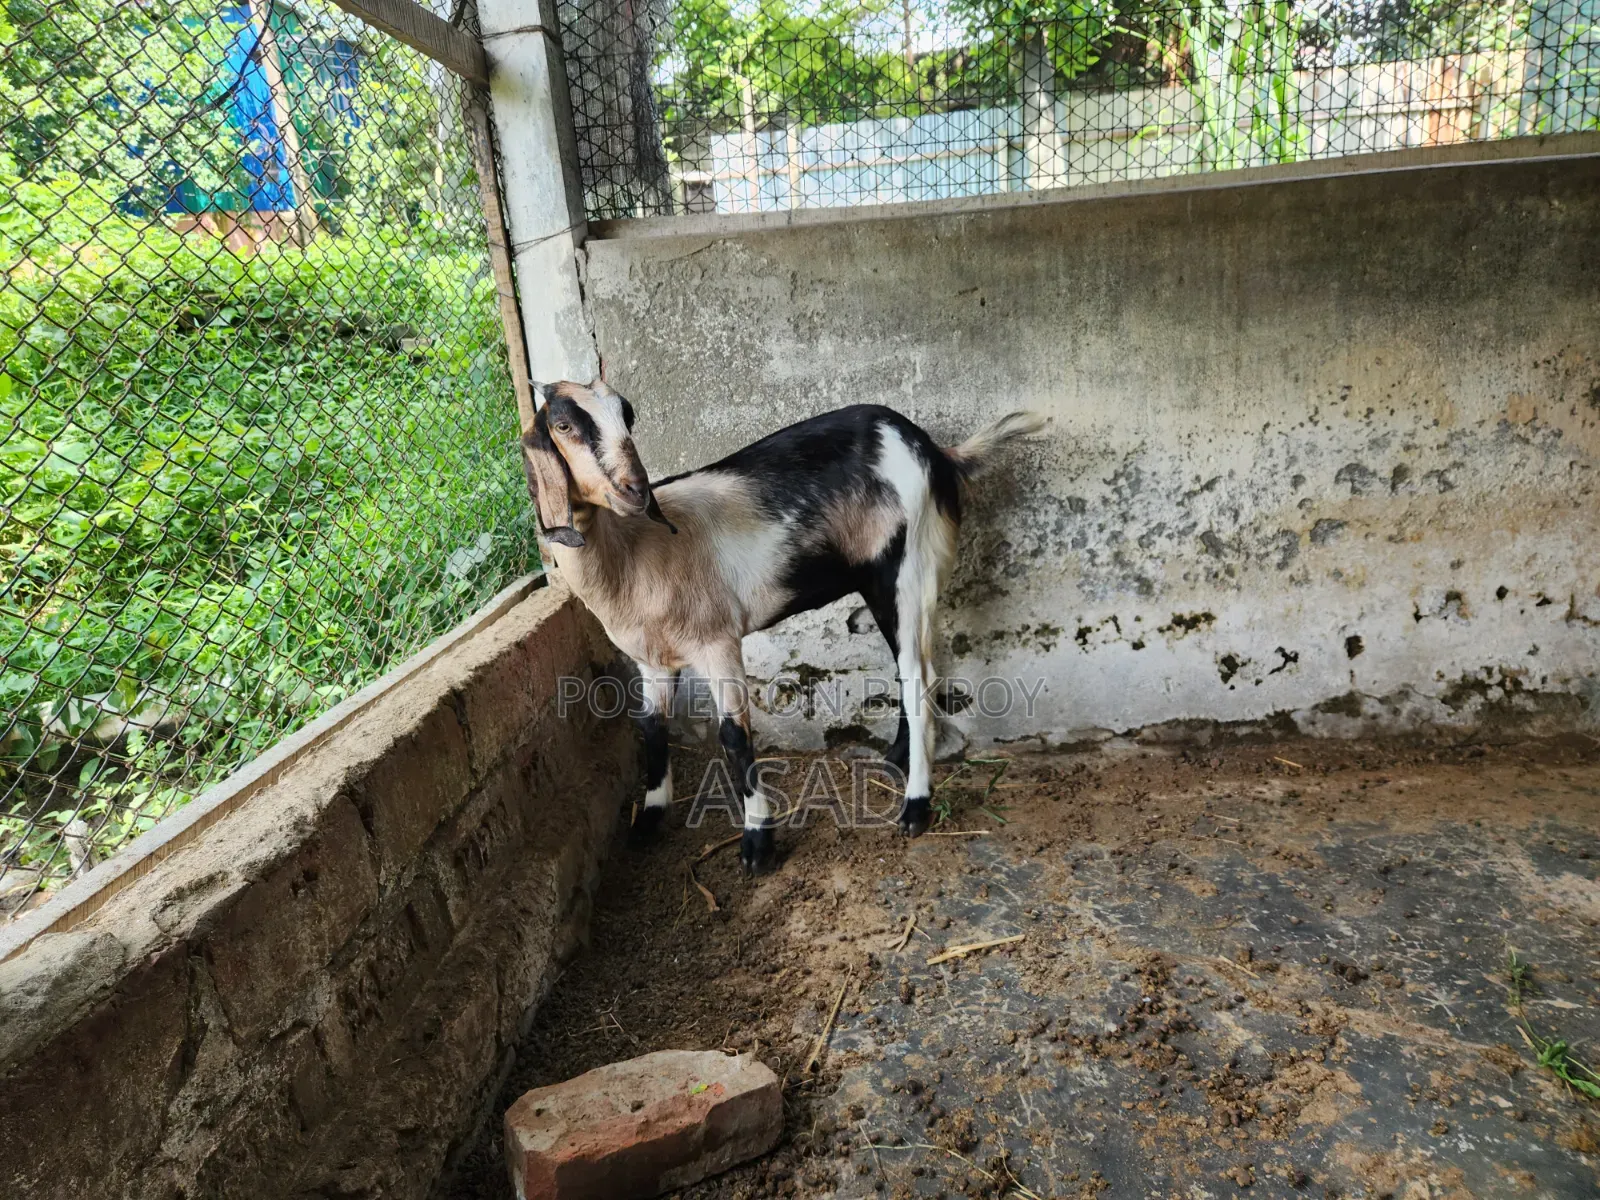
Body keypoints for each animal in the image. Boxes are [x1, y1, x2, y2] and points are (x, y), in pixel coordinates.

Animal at [522, 379, 1042, 874]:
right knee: (908, 668)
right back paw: (896, 757)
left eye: (627, 412)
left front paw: (758, 842)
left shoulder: (717, 643)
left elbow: (733, 738)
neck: (634, 553)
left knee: (919, 676)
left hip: (909, 570)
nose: (635, 489)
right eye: (563, 425)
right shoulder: (652, 661)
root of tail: (938, 452)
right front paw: (649, 818)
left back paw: (916, 806)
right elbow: (650, 726)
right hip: (881, 583)